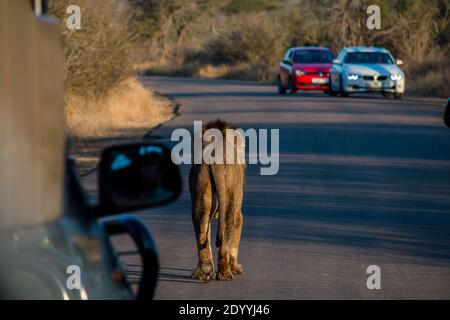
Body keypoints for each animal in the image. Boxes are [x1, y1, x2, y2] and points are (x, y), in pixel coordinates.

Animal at [190, 119, 246, 282]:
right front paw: (236, 267)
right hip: (231, 196)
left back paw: (204, 271)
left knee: (201, 227)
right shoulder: (238, 206)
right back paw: (226, 273)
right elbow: (237, 231)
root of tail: (216, 155)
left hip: (202, 189)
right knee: (228, 226)